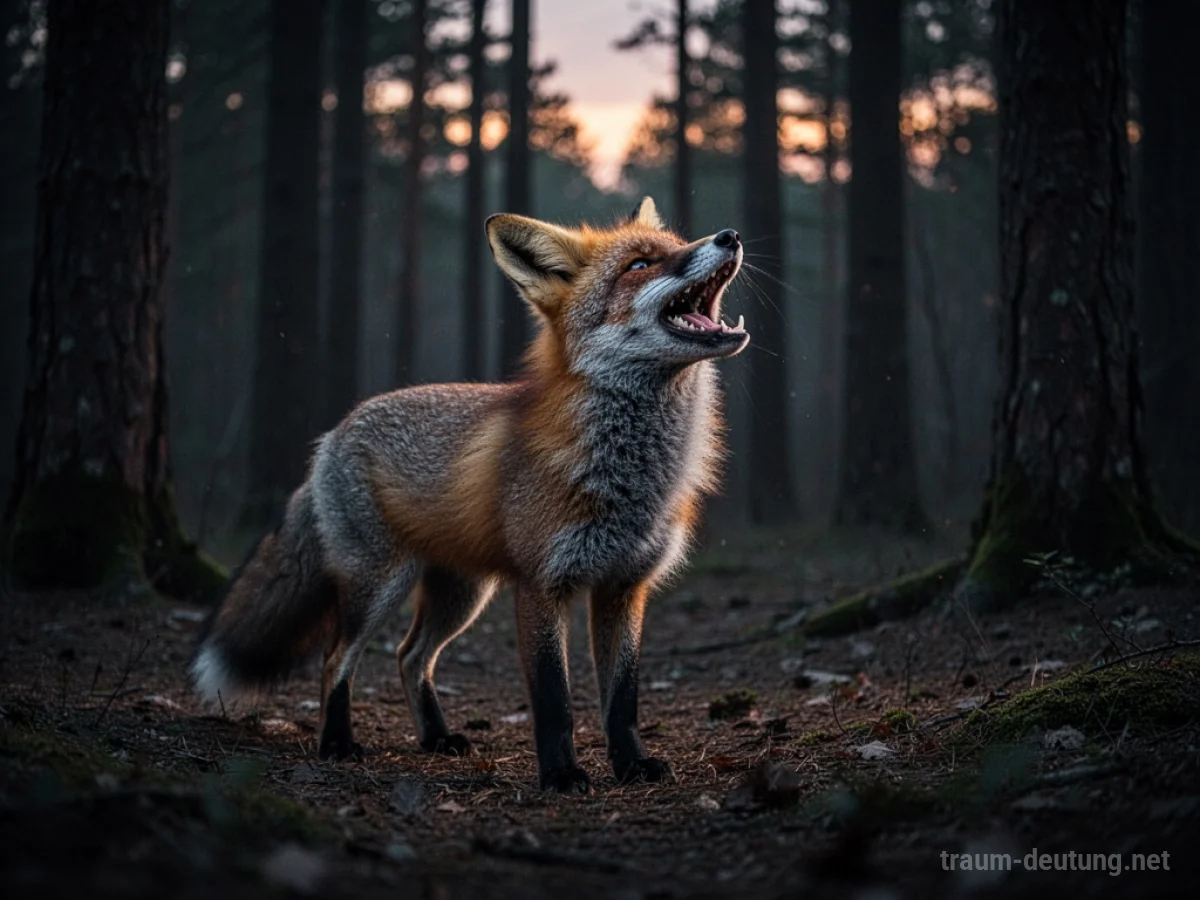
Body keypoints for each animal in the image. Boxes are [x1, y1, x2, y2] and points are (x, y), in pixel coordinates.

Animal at [191, 197, 749, 793]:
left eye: (678, 243)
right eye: (640, 264)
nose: (730, 236)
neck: (630, 476)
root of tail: (331, 435)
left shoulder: (624, 586)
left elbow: (622, 700)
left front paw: (631, 765)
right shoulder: (541, 584)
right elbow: (554, 700)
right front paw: (560, 774)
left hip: (461, 595)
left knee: (410, 656)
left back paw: (436, 737)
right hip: (379, 586)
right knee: (335, 658)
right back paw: (337, 743)